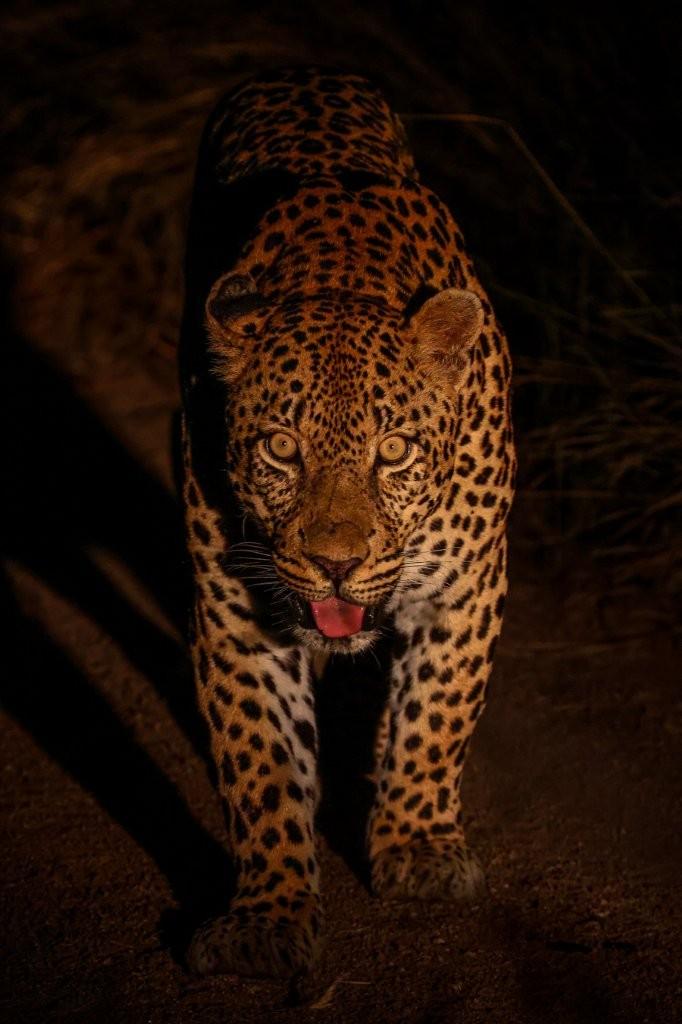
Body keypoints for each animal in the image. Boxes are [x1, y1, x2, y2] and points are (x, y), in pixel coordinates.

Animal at [179, 66, 515, 980]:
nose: (335, 563)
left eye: (393, 451)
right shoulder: (236, 616)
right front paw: (267, 917)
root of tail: (294, 70)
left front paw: (419, 849)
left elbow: (438, 715)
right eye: (280, 449)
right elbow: (261, 764)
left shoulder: (468, 589)